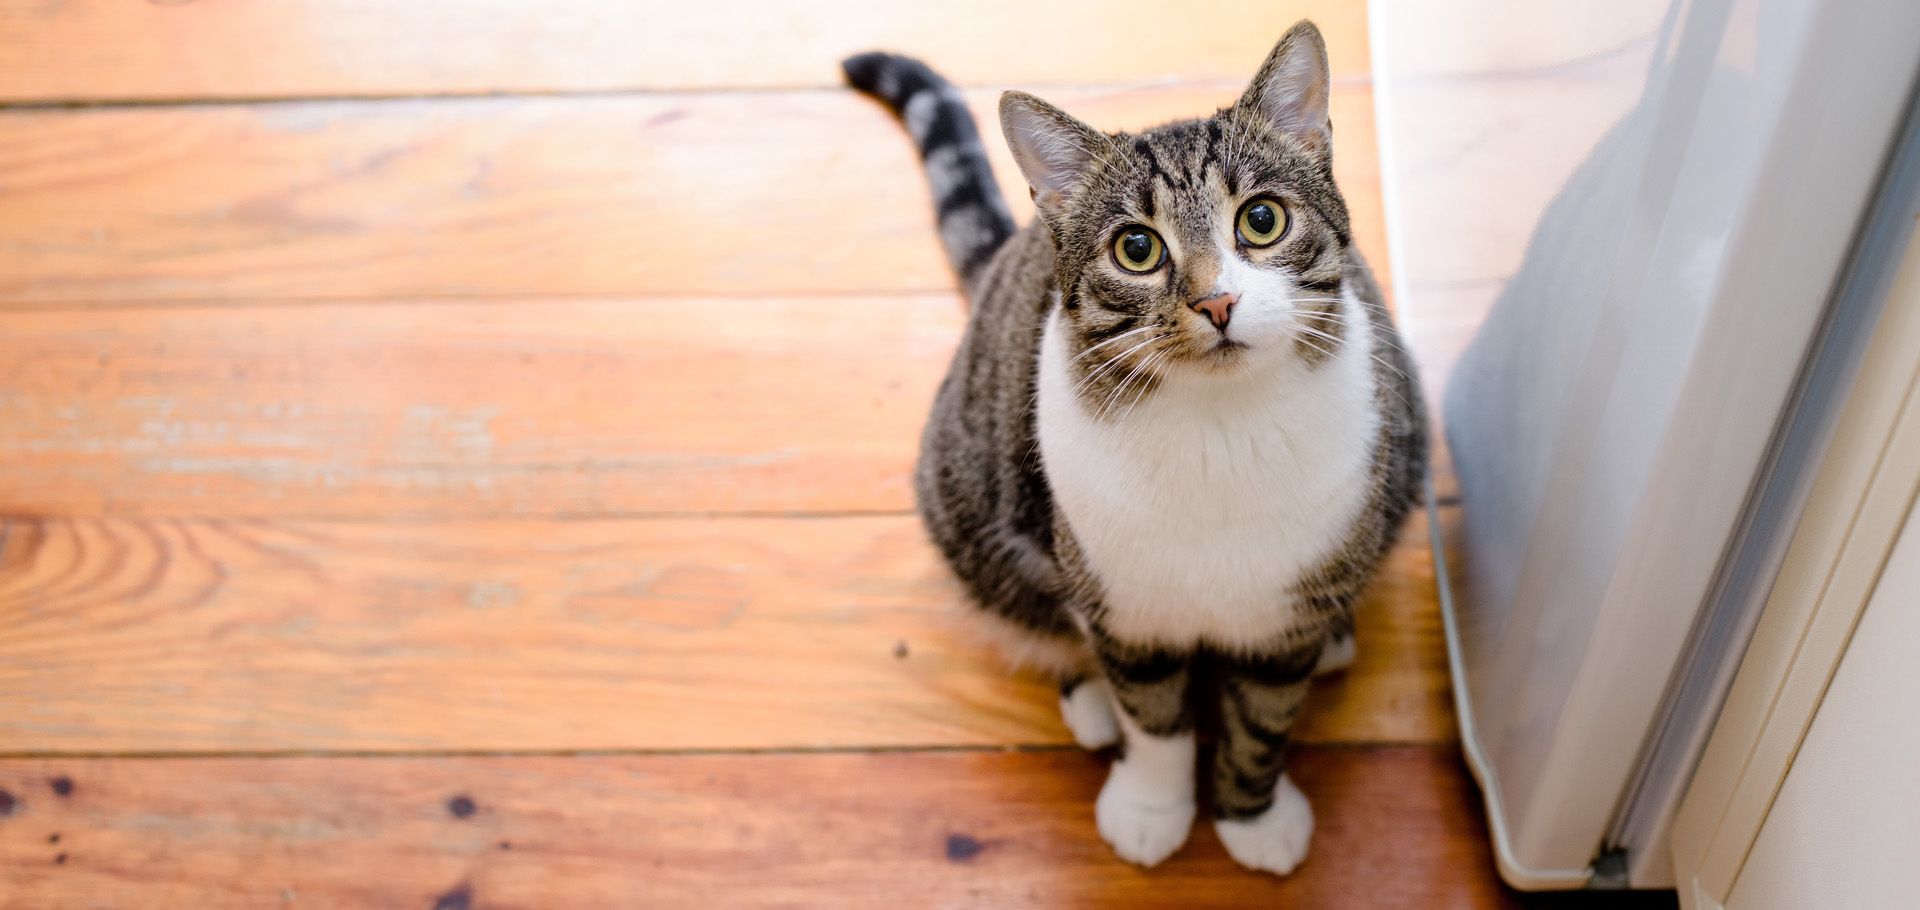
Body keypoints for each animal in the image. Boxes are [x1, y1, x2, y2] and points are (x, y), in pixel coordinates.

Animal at [844, 19, 1428, 875]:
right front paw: (1153, 806)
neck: (1220, 428)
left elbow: (1262, 721)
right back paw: (1088, 700)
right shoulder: (1124, 608)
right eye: (1137, 249)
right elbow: (1153, 718)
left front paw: (1252, 817)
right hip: (969, 501)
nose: (1218, 301)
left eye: (1261, 221)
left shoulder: (1286, 611)